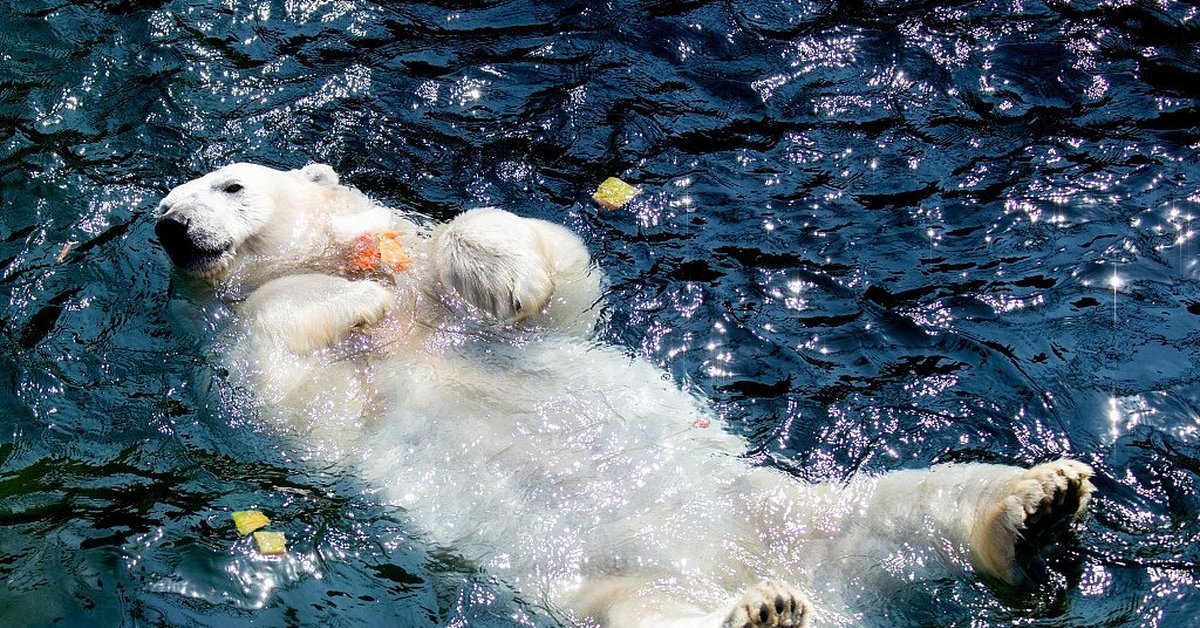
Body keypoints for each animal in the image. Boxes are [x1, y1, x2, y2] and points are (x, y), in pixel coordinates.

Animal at [156, 162, 1094, 627]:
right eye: (164, 206)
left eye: (230, 185)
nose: (171, 224)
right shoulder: (257, 378)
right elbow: (282, 375)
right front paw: (357, 302)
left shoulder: (464, 290)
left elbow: (552, 269)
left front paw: (491, 269)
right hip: (613, 581)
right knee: (652, 613)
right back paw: (763, 611)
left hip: (795, 511)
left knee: (915, 500)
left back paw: (1039, 498)